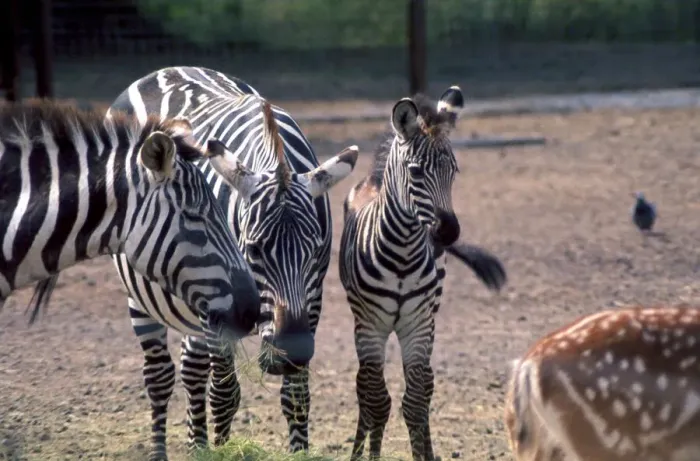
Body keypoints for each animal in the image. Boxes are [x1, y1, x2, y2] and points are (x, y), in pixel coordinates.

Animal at [84, 66, 356, 459]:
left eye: (315, 250)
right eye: (254, 250)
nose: (289, 355)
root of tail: (165, 70)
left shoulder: (312, 298)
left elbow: (296, 397)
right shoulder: (222, 305)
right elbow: (225, 394)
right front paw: (221, 446)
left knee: (192, 368)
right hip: (143, 294)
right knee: (160, 377)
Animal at [338, 88, 508, 461]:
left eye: (454, 171)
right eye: (415, 172)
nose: (448, 233)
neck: (402, 253)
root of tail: (373, 180)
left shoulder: (417, 324)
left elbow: (415, 403)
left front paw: (424, 453)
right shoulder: (370, 325)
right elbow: (377, 400)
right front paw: (368, 454)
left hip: (428, 317)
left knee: (424, 388)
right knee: (365, 391)